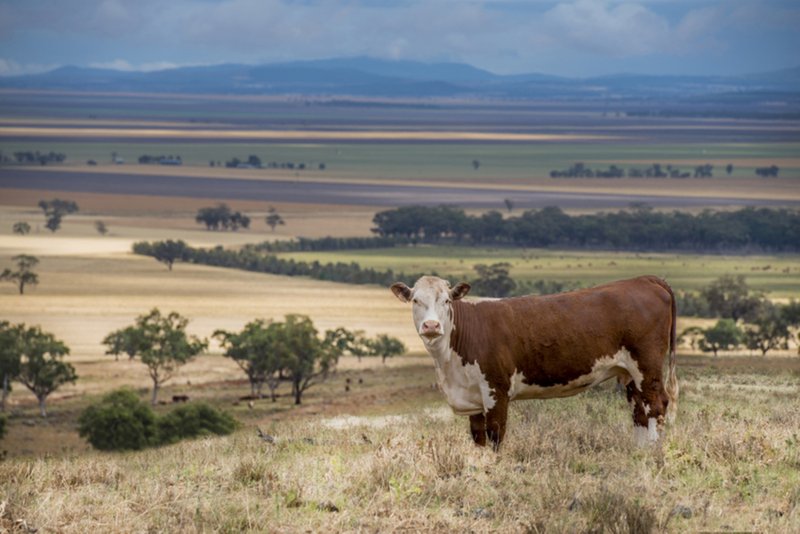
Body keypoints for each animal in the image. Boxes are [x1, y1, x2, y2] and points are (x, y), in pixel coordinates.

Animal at [390, 276, 680, 452]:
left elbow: (496, 435)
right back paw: (640, 452)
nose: (431, 325)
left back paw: (654, 453)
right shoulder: (473, 396)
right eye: (416, 300)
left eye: (446, 300)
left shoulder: (496, 391)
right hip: (630, 373)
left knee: (656, 405)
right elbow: (479, 438)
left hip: (647, 365)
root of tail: (643, 280)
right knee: (639, 410)